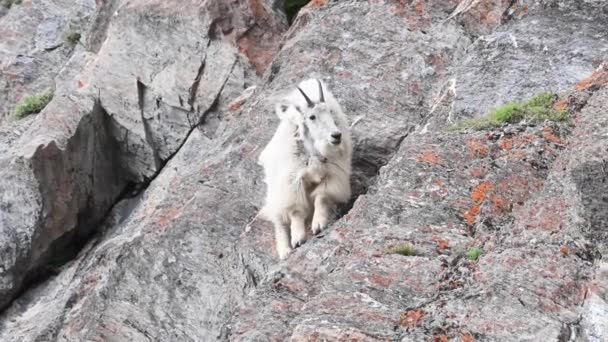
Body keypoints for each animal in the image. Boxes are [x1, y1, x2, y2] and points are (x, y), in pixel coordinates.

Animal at [256, 77, 352, 260]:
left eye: (330, 112)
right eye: (312, 117)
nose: (336, 136)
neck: (313, 151)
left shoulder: (332, 175)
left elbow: (321, 197)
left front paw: (318, 225)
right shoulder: (292, 181)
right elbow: (295, 212)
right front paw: (298, 239)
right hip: (275, 192)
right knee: (279, 222)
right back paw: (285, 251)